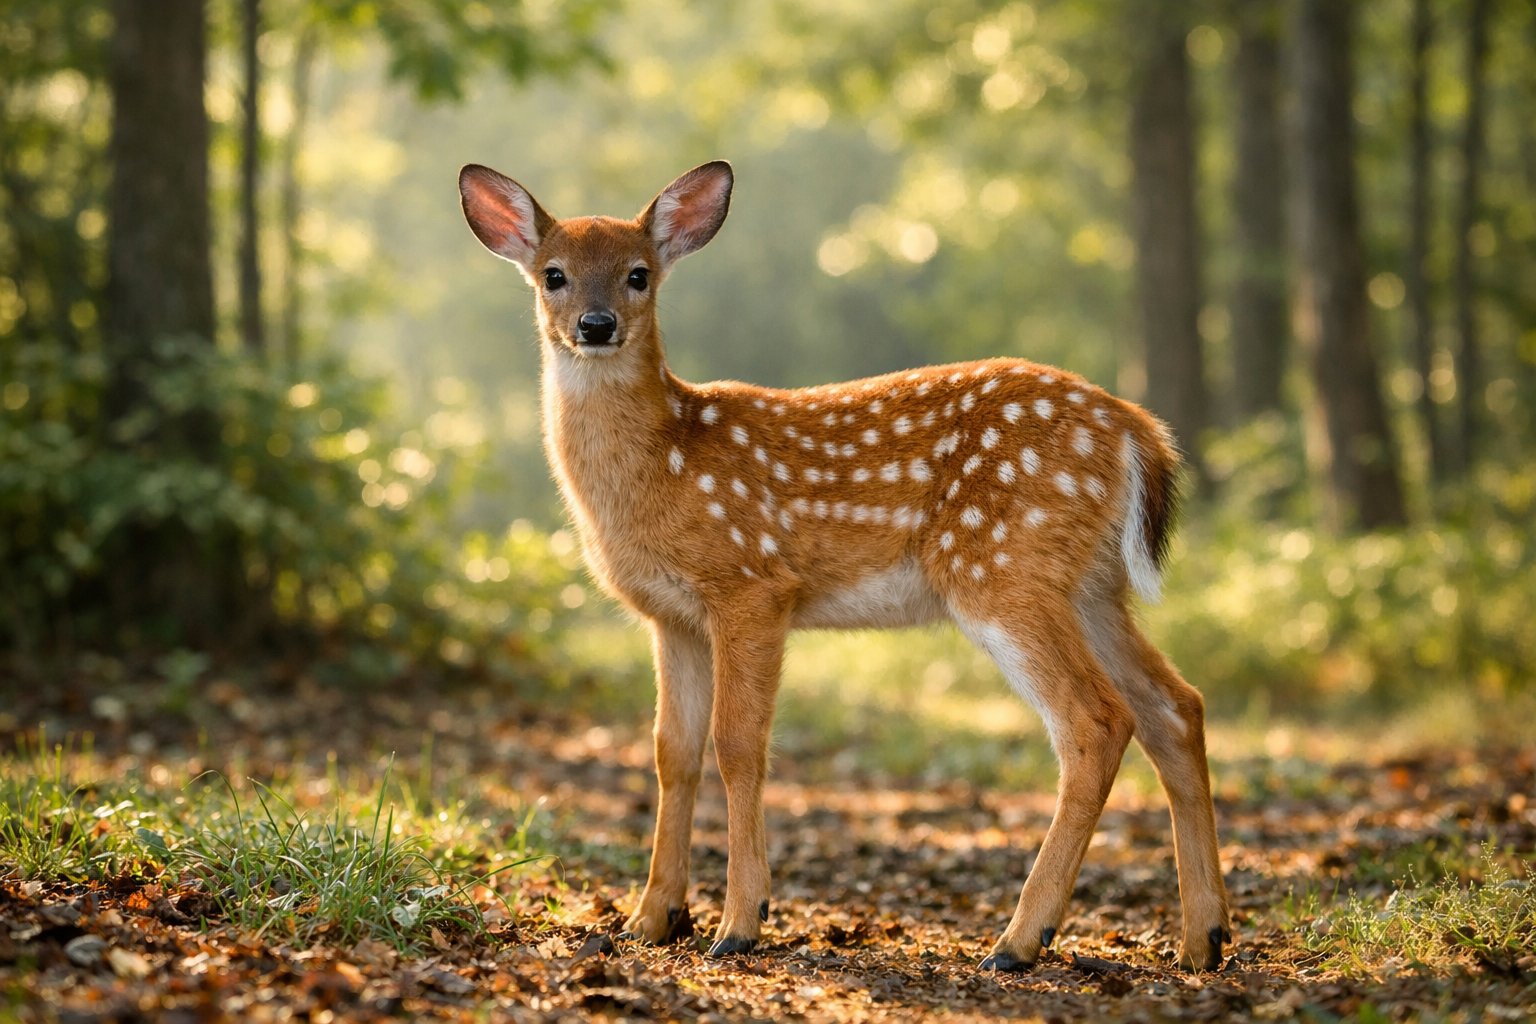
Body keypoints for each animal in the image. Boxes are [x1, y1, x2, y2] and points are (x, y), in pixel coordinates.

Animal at [457, 159, 1232, 972]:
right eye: (554, 275)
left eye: (639, 274)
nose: (596, 325)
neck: (661, 465)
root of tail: (1138, 431)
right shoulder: (672, 617)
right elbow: (674, 752)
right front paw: (652, 918)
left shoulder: (752, 585)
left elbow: (738, 747)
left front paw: (741, 922)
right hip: (1090, 586)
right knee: (1176, 706)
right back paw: (1203, 939)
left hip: (1001, 566)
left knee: (1096, 720)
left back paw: (1019, 940)